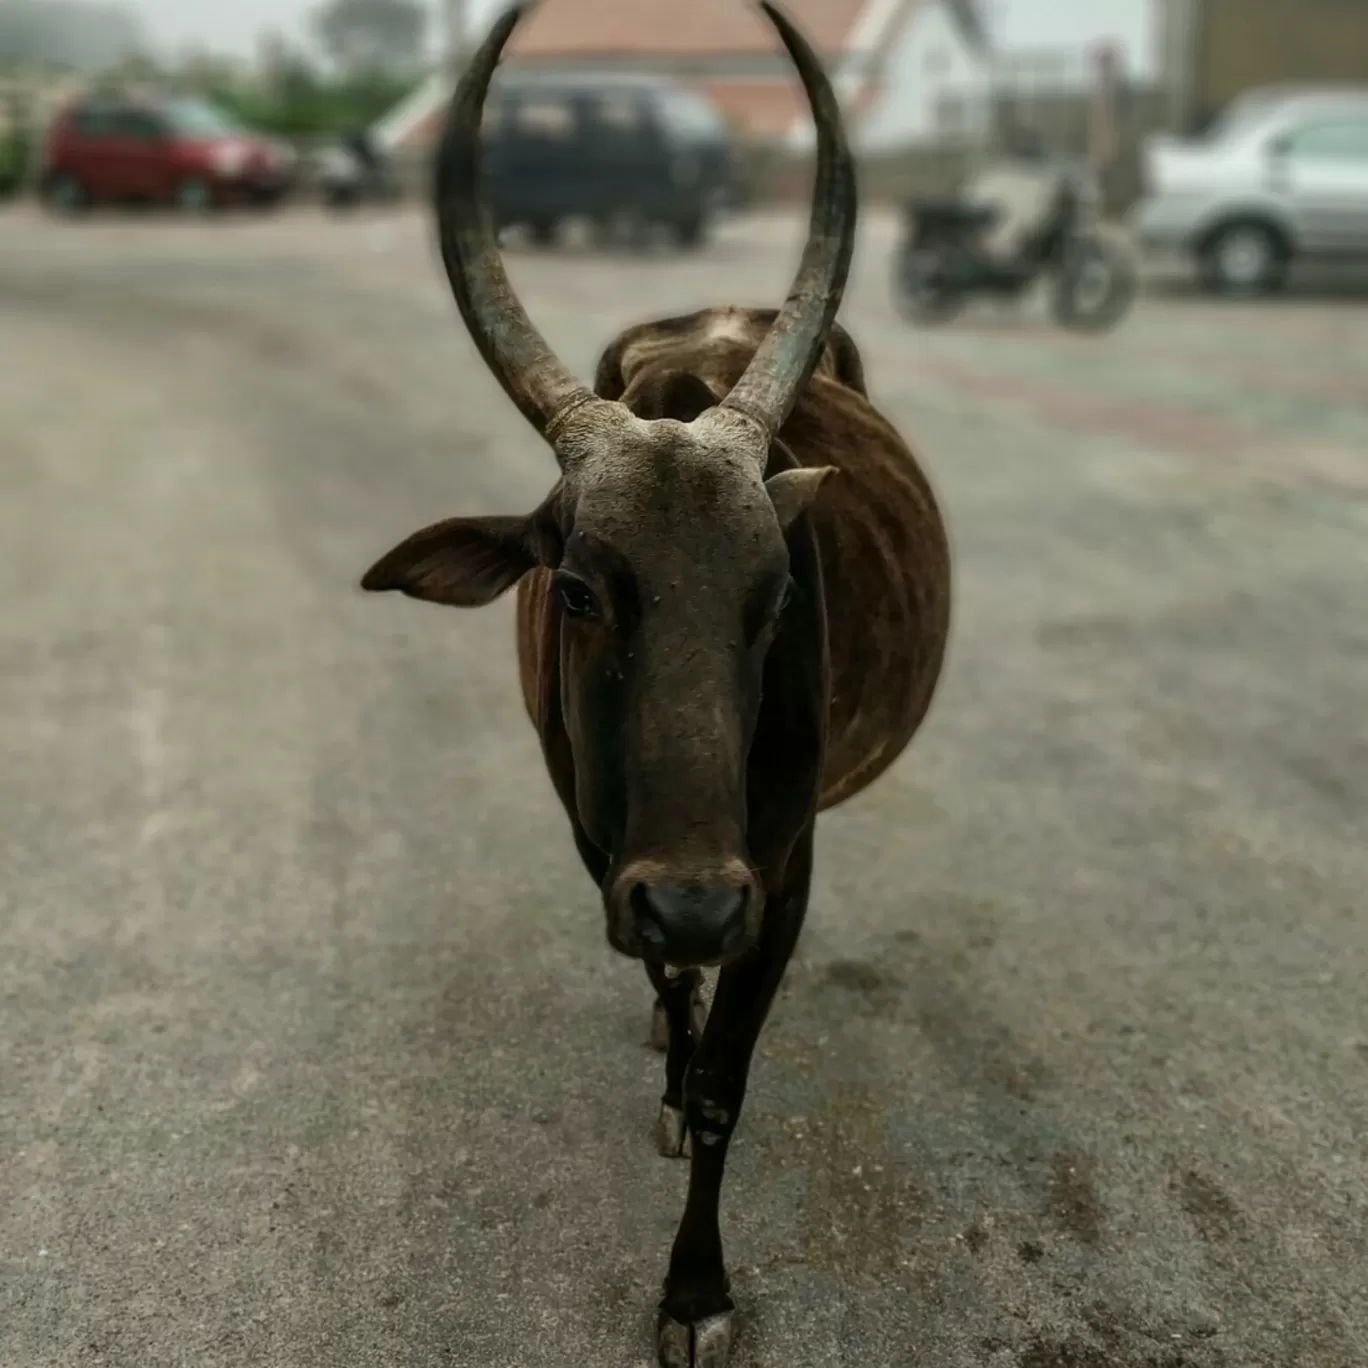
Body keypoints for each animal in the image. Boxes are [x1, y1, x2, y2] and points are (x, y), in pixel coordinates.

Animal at [366, 2, 952, 1368]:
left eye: (777, 598)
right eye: (579, 590)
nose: (690, 904)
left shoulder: (776, 876)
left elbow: (730, 1080)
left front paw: (694, 1291)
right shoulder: (600, 847)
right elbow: (669, 1000)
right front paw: (671, 1073)